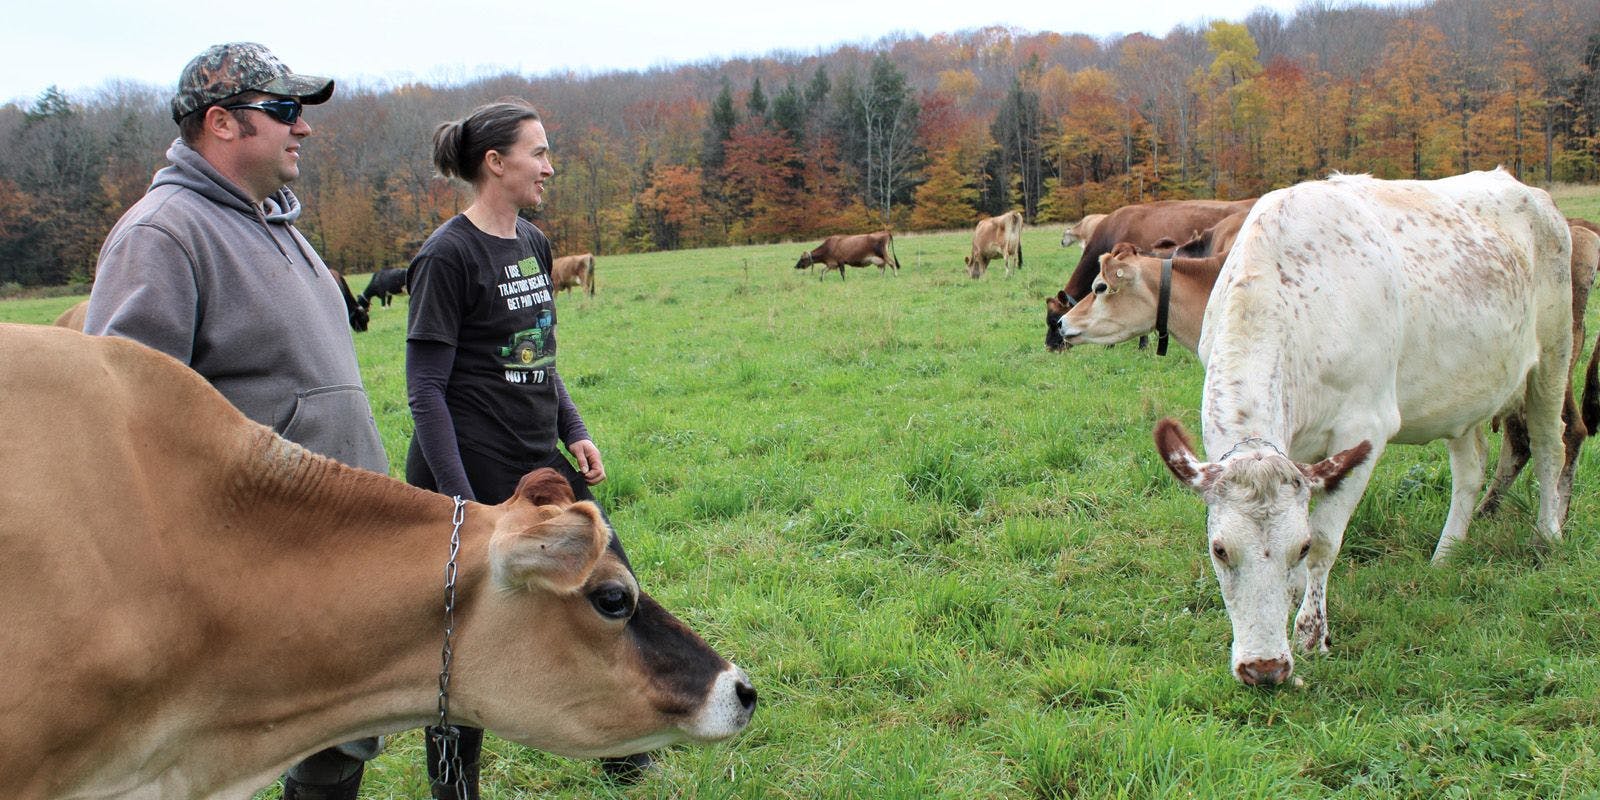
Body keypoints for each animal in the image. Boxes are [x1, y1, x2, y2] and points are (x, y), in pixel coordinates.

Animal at [1152, 170, 1574, 688]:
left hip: (1554, 353)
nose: (1264, 669)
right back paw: (1447, 553)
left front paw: (1311, 633)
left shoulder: (1363, 428)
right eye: (1219, 550)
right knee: (1471, 468)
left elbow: (1327, 538)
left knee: (1550, 445)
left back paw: (1547, 535)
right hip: (1464, 390)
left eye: (1299, 547)